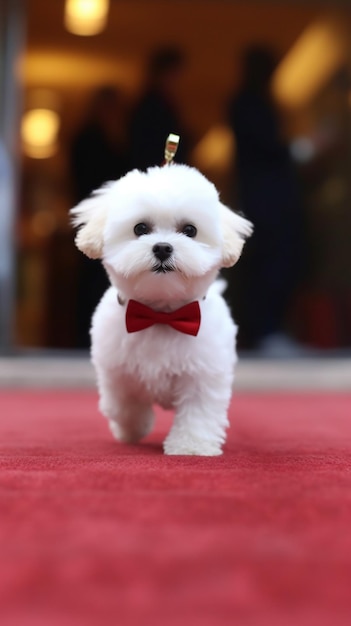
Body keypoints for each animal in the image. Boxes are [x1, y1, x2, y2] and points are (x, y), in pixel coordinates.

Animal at [71, 162, 253, 454]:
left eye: (190, 230)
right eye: (140, 228)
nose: (163, 248)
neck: (161, 315)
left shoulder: (204, 374)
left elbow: (198, 412)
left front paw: (191, 446)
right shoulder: (115, 371)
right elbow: (124, 405)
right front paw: (132, 429)